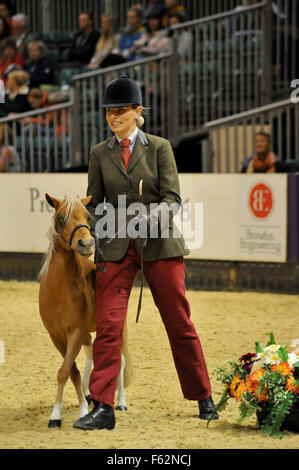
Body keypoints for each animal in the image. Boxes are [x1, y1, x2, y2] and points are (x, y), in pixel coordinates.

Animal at [38, 193, 132, 428]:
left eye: (88, 217)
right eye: (61, 218)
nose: (87, 243)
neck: (59, 290)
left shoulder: (75, 332)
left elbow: (64, 372)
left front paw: (64, 414)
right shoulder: (57, 336)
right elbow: (72, 372)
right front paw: (72, 409)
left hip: (117, 327)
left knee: (120, 360)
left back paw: (121, 402)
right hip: (86, 334)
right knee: (92, 352)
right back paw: (89, 394)